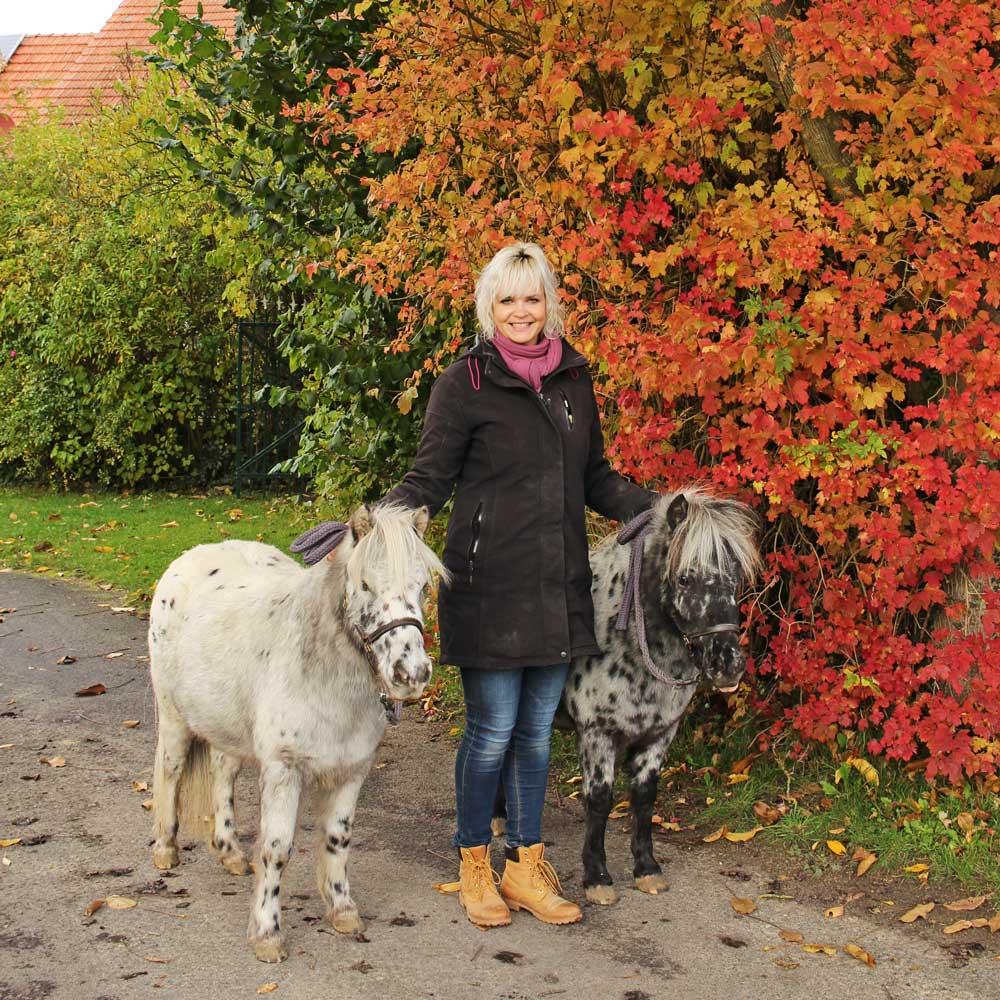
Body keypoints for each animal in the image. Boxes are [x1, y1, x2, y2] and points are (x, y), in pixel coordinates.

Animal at [492, 488, 756, 904]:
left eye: (736, 578)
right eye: (685, 578)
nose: (727, 663)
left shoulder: (659, 734)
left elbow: (645, 797)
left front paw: (646, 869)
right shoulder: (597, 733)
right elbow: (599, 799)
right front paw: (597, 876)